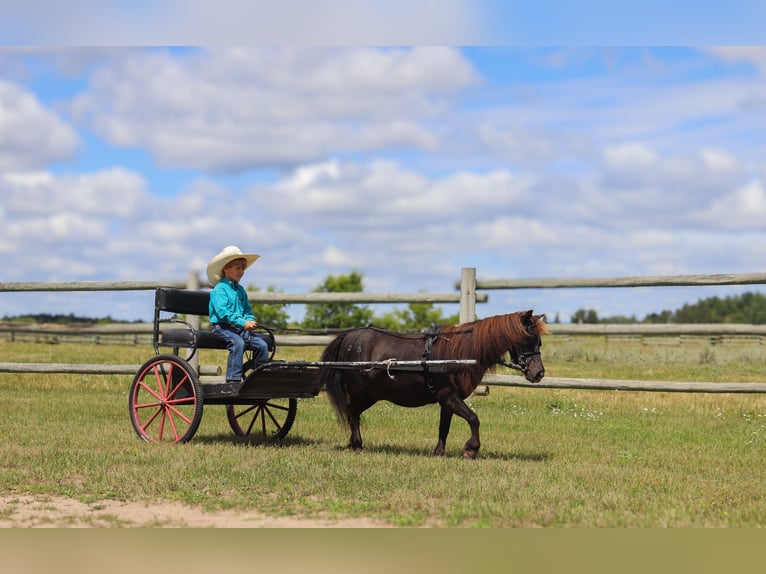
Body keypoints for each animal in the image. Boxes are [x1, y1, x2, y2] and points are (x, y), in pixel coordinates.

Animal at [320, 310, 552, 460]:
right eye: (526, 340)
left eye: (539, 342)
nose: (538, 373)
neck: (462, 352)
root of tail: (349, 336)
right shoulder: (449, 396)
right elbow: (474, 419)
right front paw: (471, 450)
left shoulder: (446, 401)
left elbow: (444, 427)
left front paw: (439, 452)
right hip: (360, 392)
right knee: (353, 414)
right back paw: (357, 445)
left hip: (370, 395)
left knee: (352, 413)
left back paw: (353, 443)